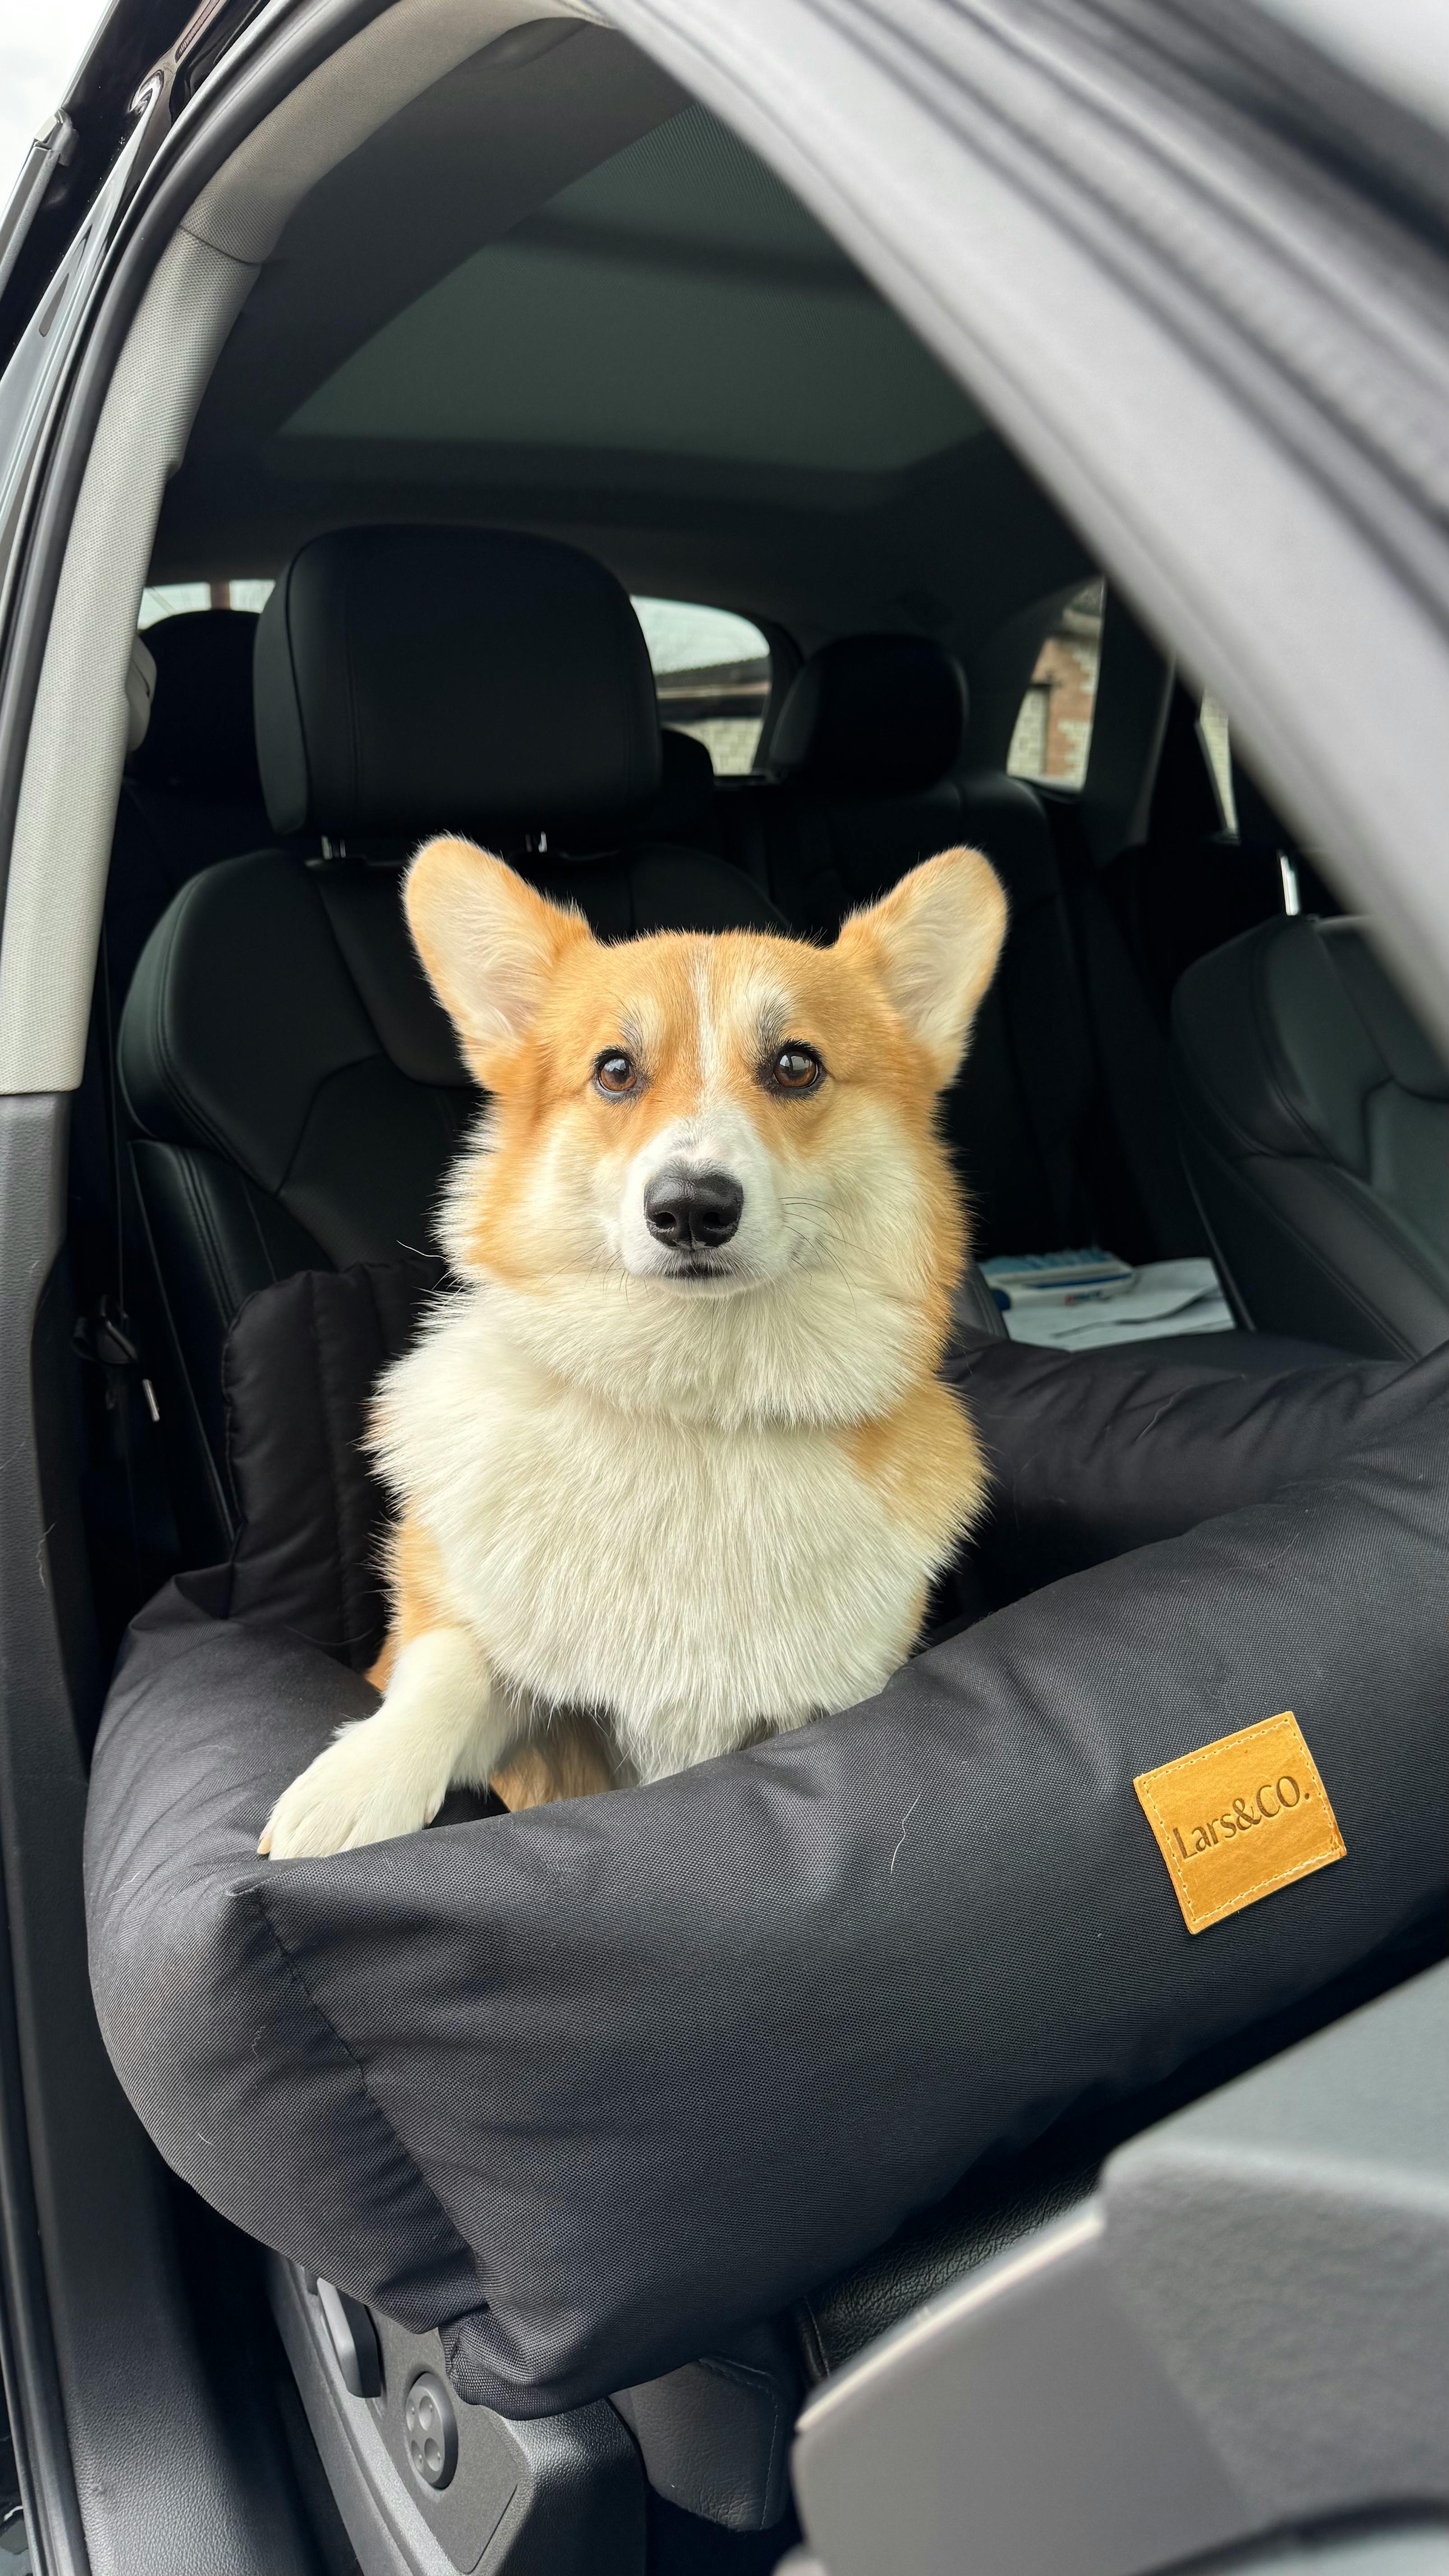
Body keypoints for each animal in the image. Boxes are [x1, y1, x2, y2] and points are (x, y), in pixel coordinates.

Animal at [260, 837, 1007, 1858]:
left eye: (795, 1066)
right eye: (614, 1070)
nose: (691, 1208)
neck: (690, 1407)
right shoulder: (491, 1674)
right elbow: (448, 1661)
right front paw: (359, 1781)